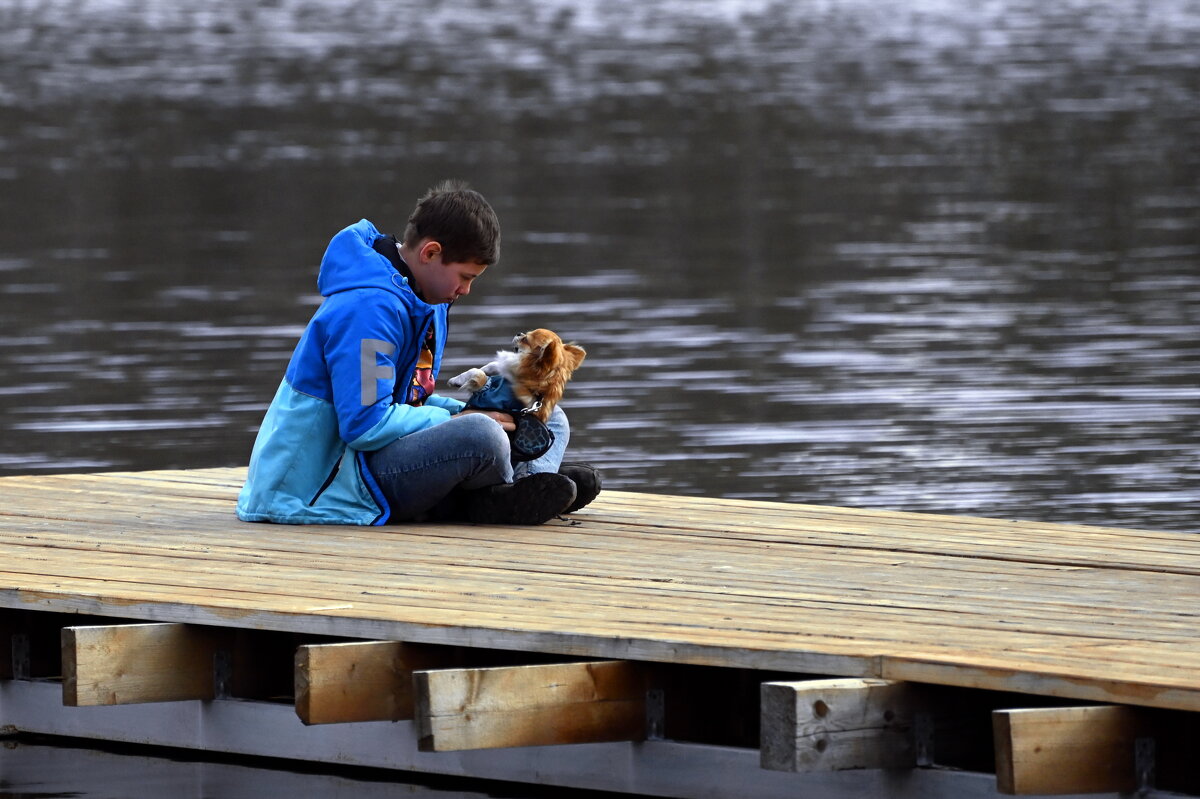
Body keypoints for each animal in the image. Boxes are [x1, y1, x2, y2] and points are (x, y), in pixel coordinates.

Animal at [446, 326, 585, 419]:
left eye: (526, 339)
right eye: (525, 334)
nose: (519, 333)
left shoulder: (483, 395)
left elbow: (478, 374)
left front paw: (456, 380)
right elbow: (492, 366)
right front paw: (485, 369)